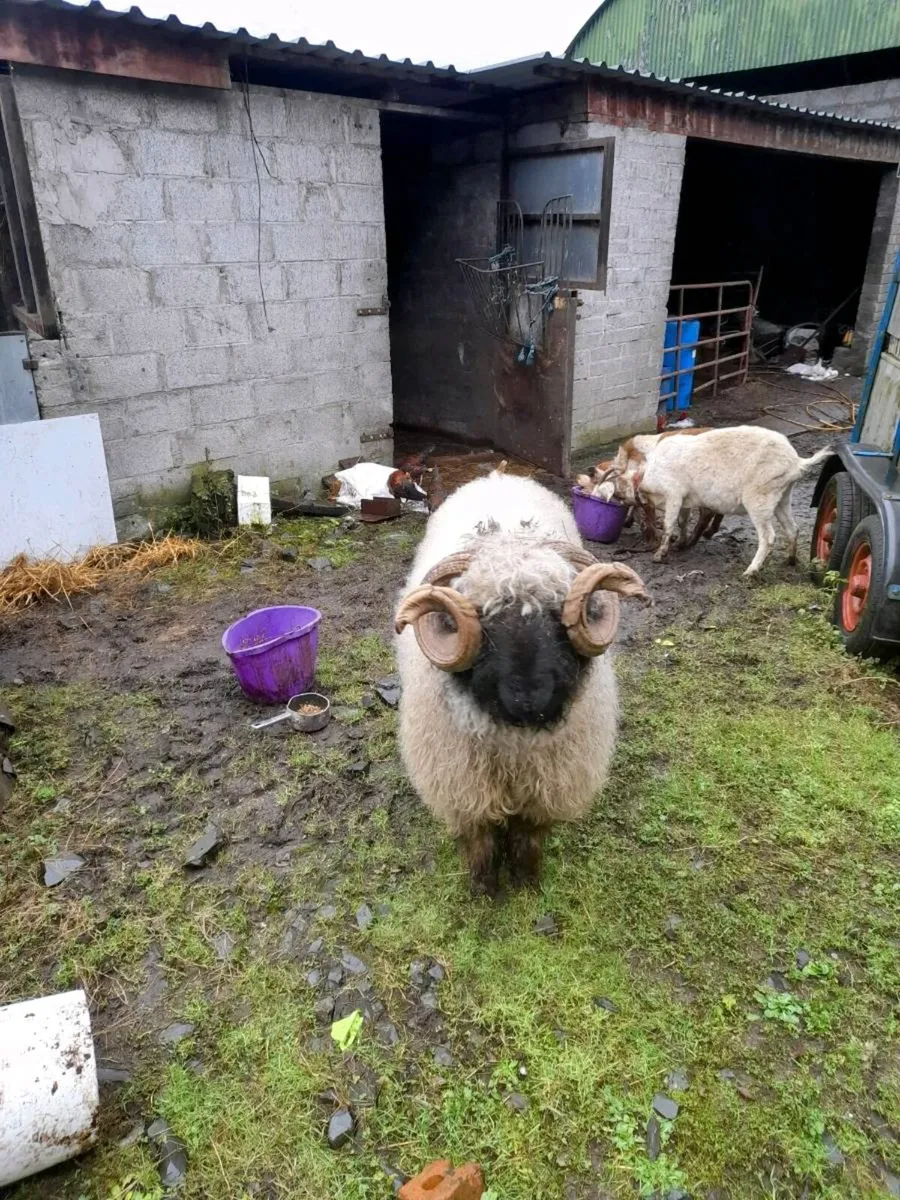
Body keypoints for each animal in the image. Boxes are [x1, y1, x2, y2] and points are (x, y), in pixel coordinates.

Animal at [394, 470, 648, 895]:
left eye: (560, 615)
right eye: (483, 620)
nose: (530, 699)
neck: (515, 747)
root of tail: (497, 473)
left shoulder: (548, 784)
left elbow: (529, 834)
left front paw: (527, 881)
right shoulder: (464, 785)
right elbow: (480, 838)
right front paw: (484, 889)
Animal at [610, 425, 833, 576]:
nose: (616, 498)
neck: (646, 473)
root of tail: (796, 461)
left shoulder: (673, 493)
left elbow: (668, 524)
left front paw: (659, 554)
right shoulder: (685, 500)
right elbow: (682, 521)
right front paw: (681, 544)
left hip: (759, 497)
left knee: (768, 536)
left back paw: (750, 571)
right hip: (782, 496)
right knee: (793, 528)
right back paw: (790, 561)